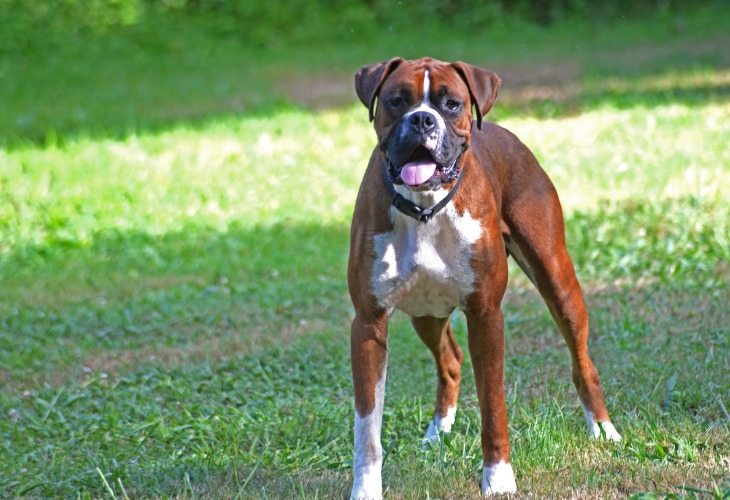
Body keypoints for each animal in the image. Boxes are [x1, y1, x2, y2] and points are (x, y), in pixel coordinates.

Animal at [346, 57, 620, 496]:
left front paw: (499, 477)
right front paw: (366, 489)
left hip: (558, 281)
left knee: (583, 363)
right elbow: (367, 423)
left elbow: (493, 404)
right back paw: (438, 431)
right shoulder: (369, 324)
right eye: (396, 100)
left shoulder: (486, 315)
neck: (426, 208)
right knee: (450, 361)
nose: (422, 119)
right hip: (426, 314)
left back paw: (604, 429)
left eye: (452, 104)